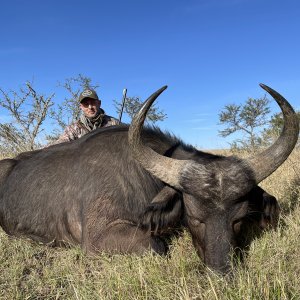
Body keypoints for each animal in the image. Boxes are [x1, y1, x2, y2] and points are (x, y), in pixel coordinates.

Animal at [0, 83, 298, 274]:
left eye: (238, 219)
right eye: (195, 218)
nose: (221, 273)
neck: (142, 173)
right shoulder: (97, 240)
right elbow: (157, 245)